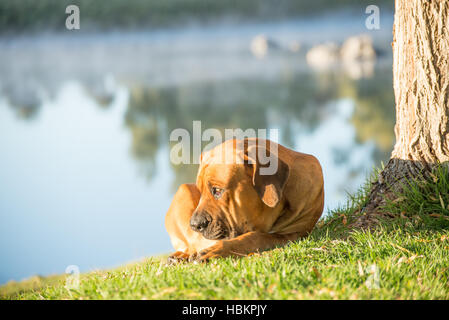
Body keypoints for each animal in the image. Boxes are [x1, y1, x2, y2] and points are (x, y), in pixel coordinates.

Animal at [164, 138, 322, 262]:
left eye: (217, 191)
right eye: (200, 191)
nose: (194, 225)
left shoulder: (294, 233)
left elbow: (255, 237)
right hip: (183, 192)